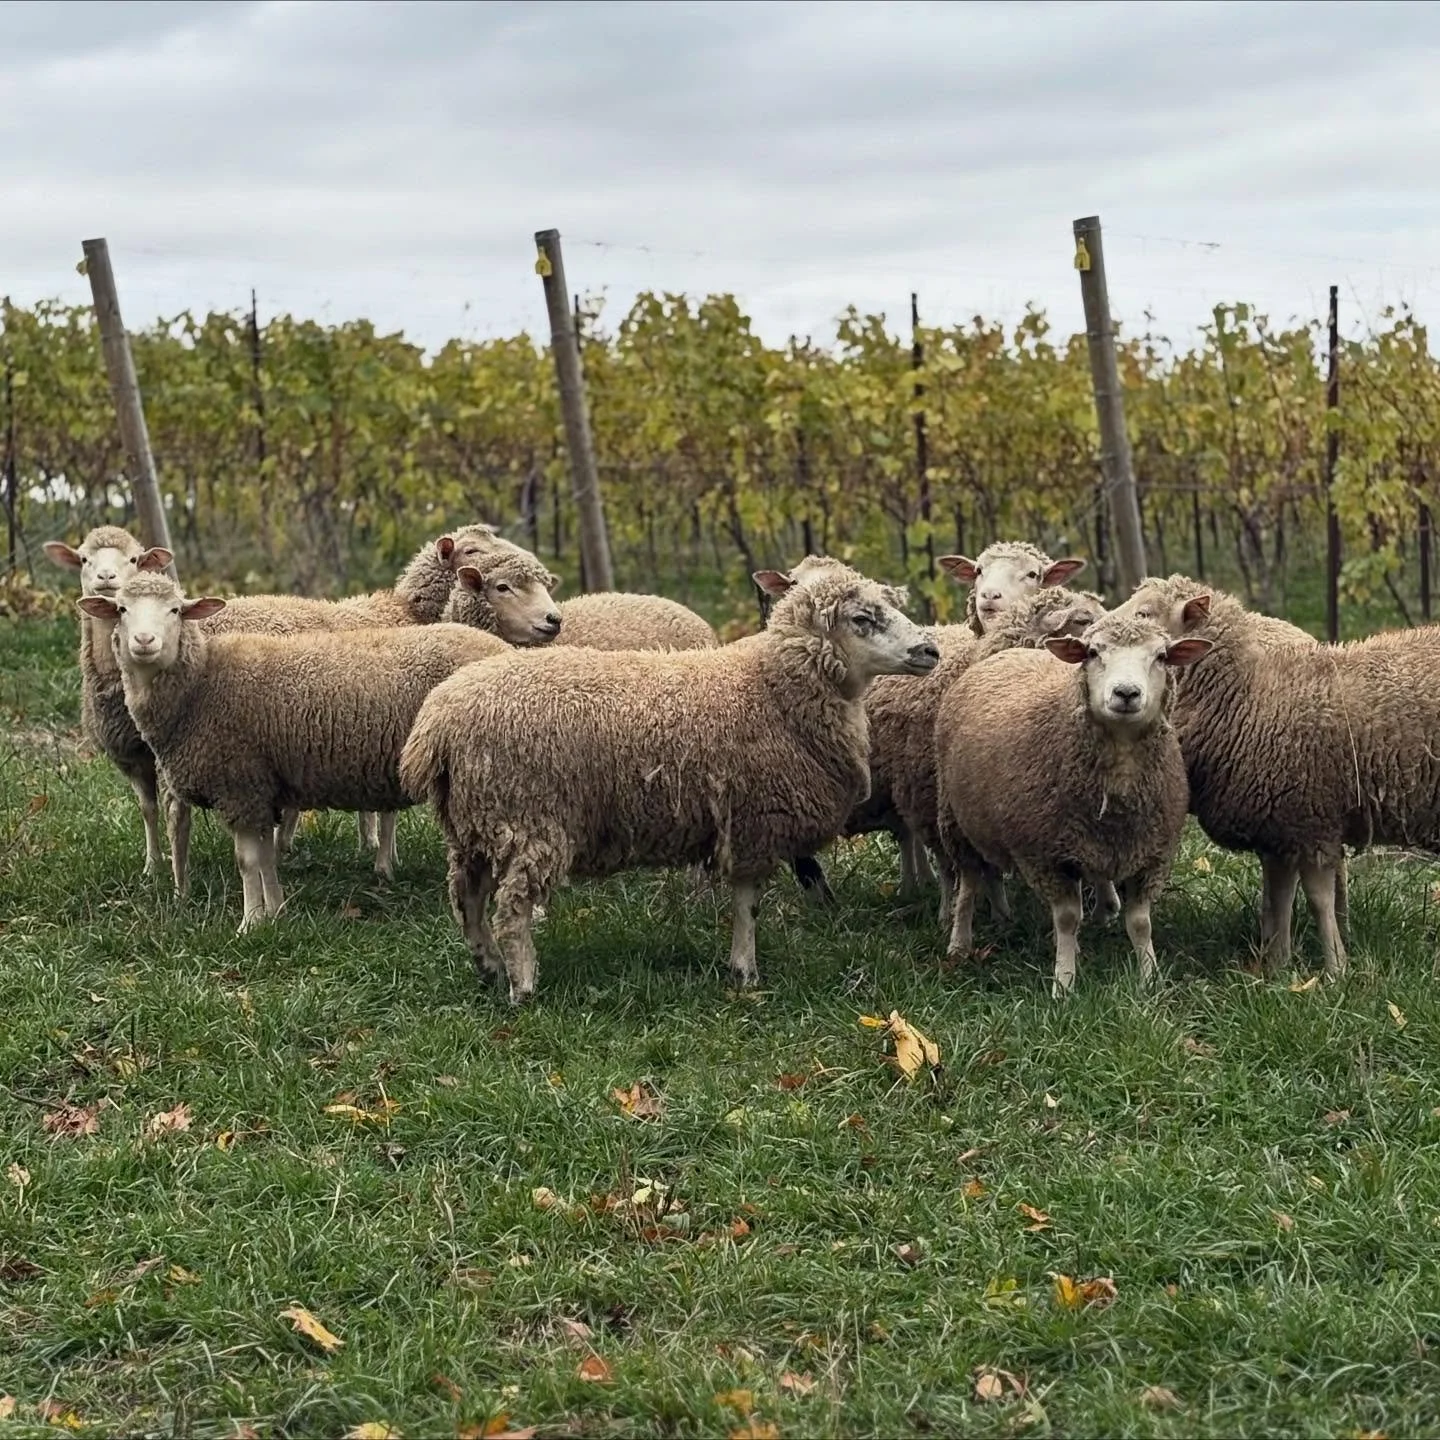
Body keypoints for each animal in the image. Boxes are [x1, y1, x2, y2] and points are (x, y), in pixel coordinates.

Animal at [43, 528, 184, 887]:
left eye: (134, 559)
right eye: (83, 558)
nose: (107, 577)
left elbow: (170, 809)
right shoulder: (129, 755)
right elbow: (147, 808)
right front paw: (152, 867)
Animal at [78, 570, 509, 933]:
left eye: (175, 610)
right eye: (121, 610)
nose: (144, 642)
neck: (201, 683)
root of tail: (502, 650)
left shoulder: (240, 785)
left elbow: (247, 861)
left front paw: (250, 923)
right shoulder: (261, 789)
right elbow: (266, 857)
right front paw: (276, 911)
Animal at [400, 557, 940, 1003]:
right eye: (862, 619)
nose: (929, 650)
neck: (769, 687)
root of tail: (438, 722)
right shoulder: (754, 820)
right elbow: (748, 904)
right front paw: (746, 971)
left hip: (474, 824)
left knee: (467, 898)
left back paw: (488, 967)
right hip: (527, 818)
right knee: (510, 909)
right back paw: (522, 985)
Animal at [936, 614, 1211, 996]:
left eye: (1161, 656)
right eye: (1093, 653)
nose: (1126, 693)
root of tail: (1012, 652)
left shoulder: (1152, 855)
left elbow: (1140, 923)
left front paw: (1150, 979)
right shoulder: (1045, 857)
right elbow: (1067, 919)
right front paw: (1064, 984)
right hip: (956, 822)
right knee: (969, 885)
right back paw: (959, 945)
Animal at [1112, 575, 1436, 979]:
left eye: (1144, 613)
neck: (1247, 694)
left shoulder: (1308, 822)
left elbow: (1316, 900)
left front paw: (1335, 969)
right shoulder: (1278, 828)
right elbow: (1277, 899)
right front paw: (1278, 966)